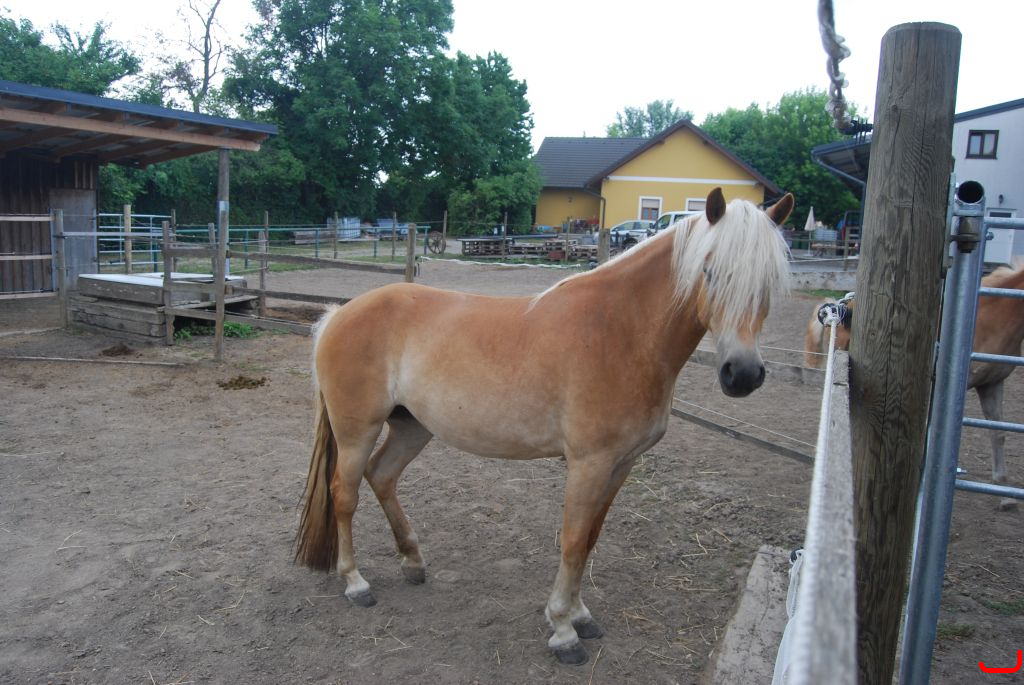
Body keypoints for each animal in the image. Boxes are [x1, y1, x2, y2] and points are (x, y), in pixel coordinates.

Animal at [295, 187, 795, 665]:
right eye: (711, 271)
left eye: (770, 280)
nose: (742, 374)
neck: (621, 331)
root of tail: (338, 314)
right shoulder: (589, 464)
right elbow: (572, 543)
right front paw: (562, 629)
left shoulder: (621, 465)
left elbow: (591, 539)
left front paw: (581, 615)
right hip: (357, 430)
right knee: (345, 494)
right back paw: (356, 582)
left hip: (412, 427)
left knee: (381, 476)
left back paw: (413, 562)